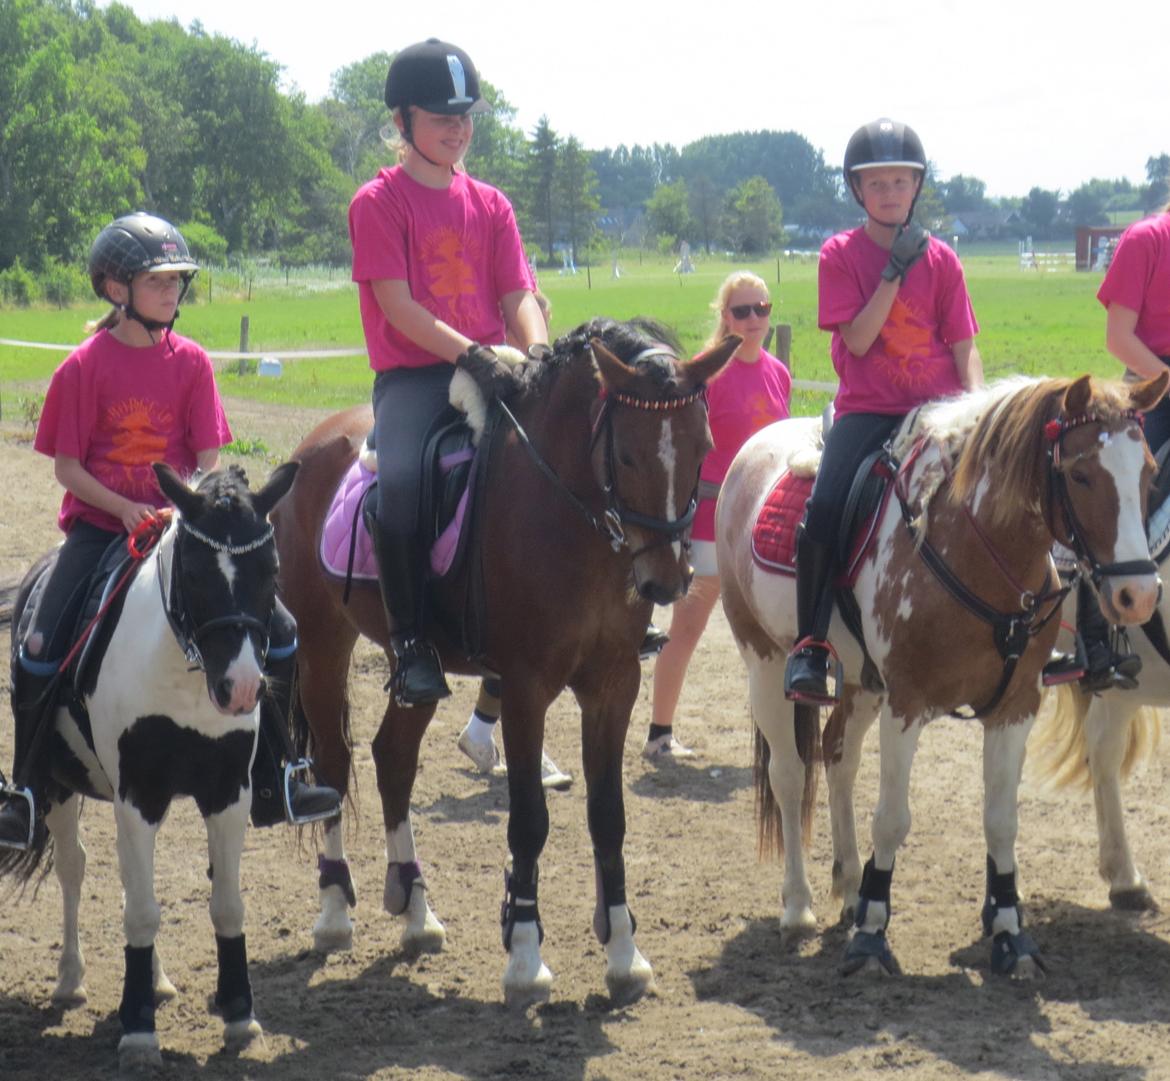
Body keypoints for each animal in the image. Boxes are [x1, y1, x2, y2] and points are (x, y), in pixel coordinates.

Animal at [2, 465, 294, 1071]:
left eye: (272, 569)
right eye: (193, 570)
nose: (241, 689)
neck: (184, 672)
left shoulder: (228, 792)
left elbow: (226, 905)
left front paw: (239, 1016)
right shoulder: (137, 794)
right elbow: (140, 912)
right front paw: (138, 1030)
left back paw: (156, 980)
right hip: (59, 784)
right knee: (74, 867)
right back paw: (71, 979)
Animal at [272, 315, 730, 1010]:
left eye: (703, 444)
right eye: (626, 455)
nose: (665, 580)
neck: (573, 516)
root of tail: (317, 441)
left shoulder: (614, 684)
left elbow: (608, 817)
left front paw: (625, 955)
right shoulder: (524, 687)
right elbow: (529, 822)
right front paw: (525, 956)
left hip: (419, 664)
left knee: (393, 759)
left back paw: (417, 913)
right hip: (323, 646)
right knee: (333, 762)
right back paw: (333, 913)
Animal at [716, 372, 1165, 978]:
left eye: (1148, 473)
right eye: (1080, 474)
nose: (1137, 594)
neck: (970, 544)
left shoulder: (1016, 706)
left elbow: (1001, 819)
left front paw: (1010, 934)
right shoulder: (907, 703)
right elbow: (892, 818)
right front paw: (872, 935)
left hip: (862, 684)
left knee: (838, 758)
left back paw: (849, 882)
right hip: (763, 661)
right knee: (788, 774)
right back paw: (798, 906)